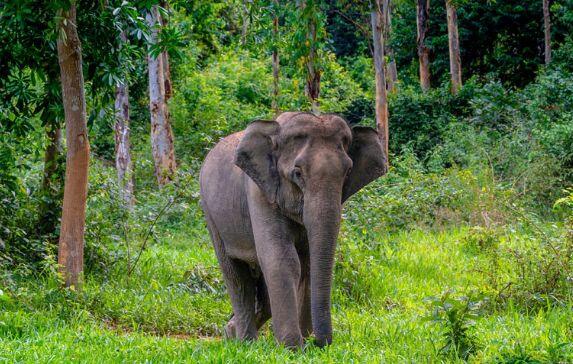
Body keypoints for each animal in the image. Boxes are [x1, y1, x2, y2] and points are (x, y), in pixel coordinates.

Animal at [199, 112, 386, 348]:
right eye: (297, 173)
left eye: (348, 171)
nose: (318, 343)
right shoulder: (259, 193)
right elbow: (282, 259)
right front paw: (292, 347)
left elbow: (307, 263)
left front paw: (303, 342)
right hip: (210, 213)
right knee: (236, 275)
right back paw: (244, 342)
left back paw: (231, 333)